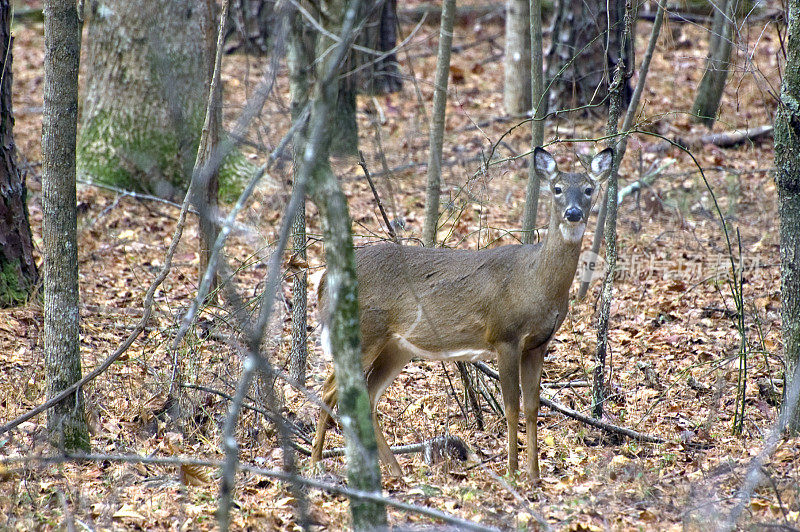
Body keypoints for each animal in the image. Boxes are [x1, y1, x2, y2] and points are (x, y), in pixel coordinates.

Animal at [310, 145, 612, 478]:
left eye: (589, 189)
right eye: (557, 188)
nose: (573, 213)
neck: (535, 282)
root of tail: (323, 280)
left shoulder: (538, 344)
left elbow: (533, 407)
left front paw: (534, 476)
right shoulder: (505, 335)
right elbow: (512, 407)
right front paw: (513, 472)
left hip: (397, 346)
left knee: (368, 394)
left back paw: (396, 471)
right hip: (365, 332)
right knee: (329, 390)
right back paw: (315, 465)